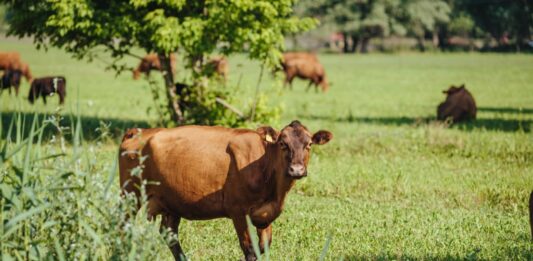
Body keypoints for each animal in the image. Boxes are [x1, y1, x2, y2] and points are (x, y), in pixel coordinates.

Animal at [119, 120, 332, 260]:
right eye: (282, 144)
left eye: (309, 144)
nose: (297, 170)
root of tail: (138, 132)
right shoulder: (238, 211)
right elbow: (250, 250)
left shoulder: (265, 214)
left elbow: (263, 247)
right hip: (130, 194)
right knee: (123, 226)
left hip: (171, 202)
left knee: (169, 235)